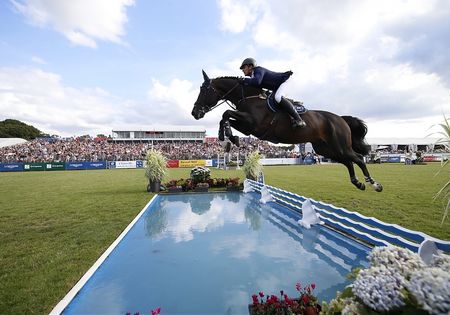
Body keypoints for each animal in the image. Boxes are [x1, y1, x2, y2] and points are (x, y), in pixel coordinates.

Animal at [191, 69, 384, 193]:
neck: (250, 97)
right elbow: (226, 116)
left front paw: (227, 136)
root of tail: (341, 119)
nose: (195, 113)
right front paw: (229, 137)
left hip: (340, 145)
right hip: (325, 149)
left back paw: (374, 185)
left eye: (204, 90)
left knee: (357, 159)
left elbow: (226, 113)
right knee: (348, 161)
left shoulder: (253, 124)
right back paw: (358, 183)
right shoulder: (247, 126)